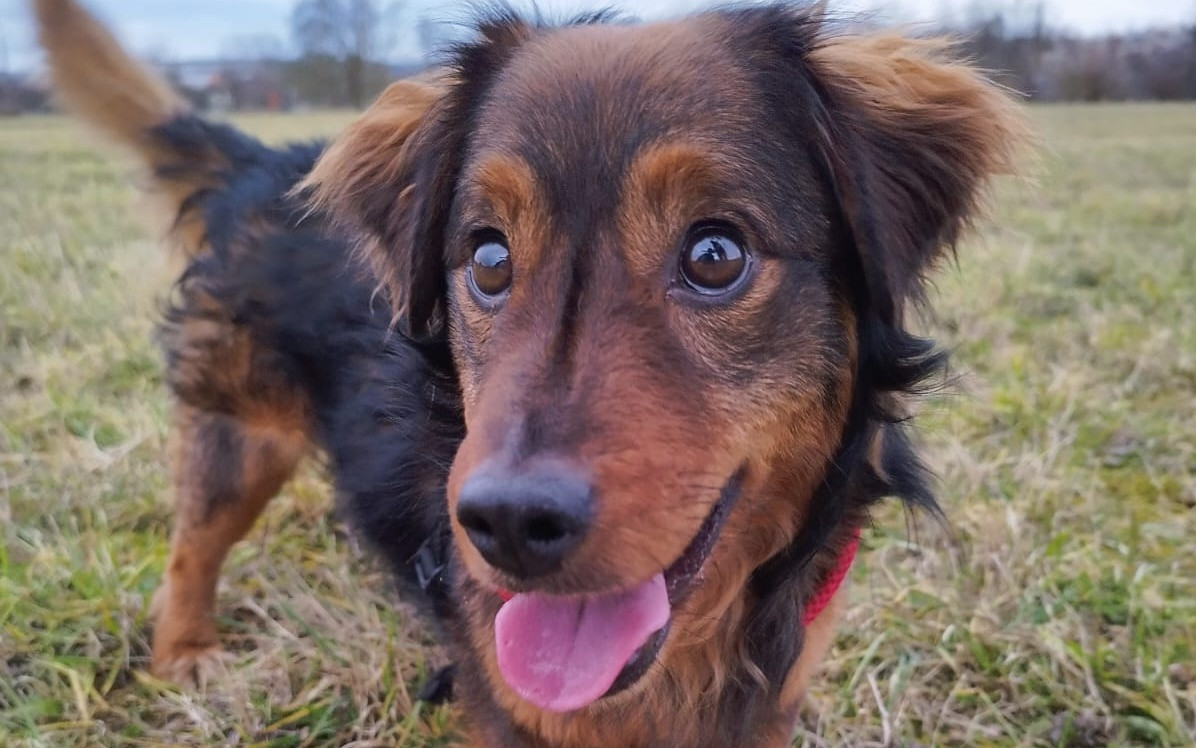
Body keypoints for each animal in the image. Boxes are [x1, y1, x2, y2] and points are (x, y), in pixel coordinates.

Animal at [37, 0, 1028, 742]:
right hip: (237, 434)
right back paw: (183, 653)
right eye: (486, 258)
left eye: (716, 255)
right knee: (190, 548)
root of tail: (262, 165)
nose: (506, 524)